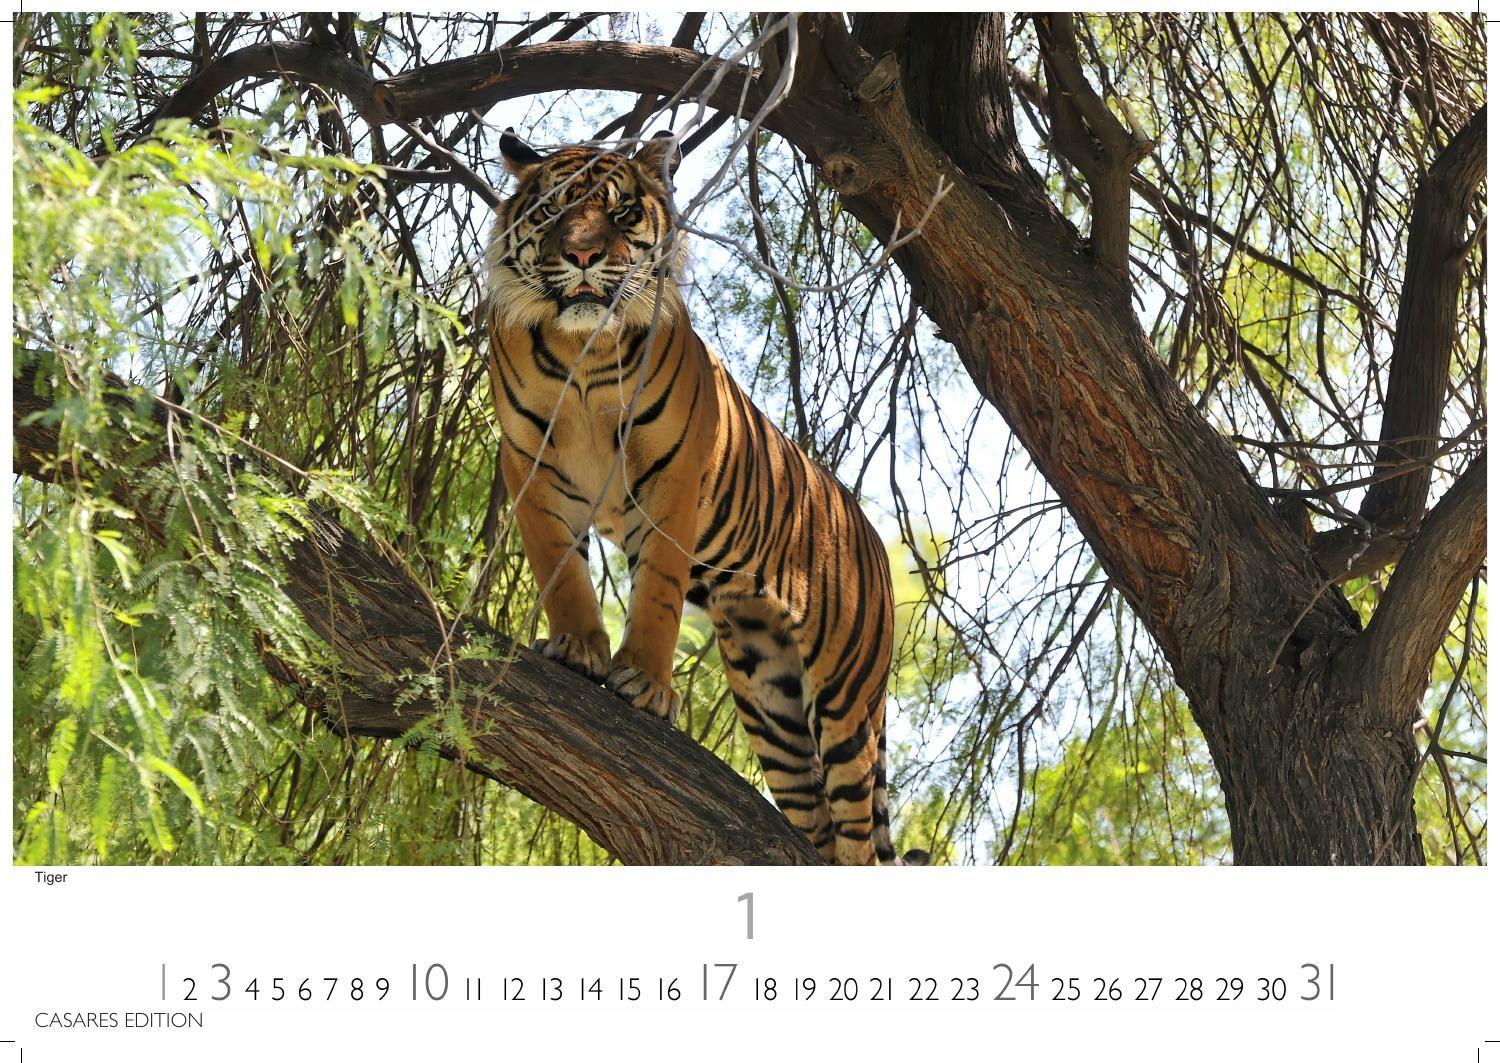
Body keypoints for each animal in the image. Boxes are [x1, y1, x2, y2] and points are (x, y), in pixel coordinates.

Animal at [483, 129, 903, 866]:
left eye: (620, 211)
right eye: (554, 209)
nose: (584, 254)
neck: (584, 351)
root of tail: (872, 537)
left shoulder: (672, 476)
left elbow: (657, 590)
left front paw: (646, 685)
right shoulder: (530, 466)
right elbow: (561, 570)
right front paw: (578, 648)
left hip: (846, 697)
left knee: (858, 835)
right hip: (772, 700)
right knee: (817, 819)